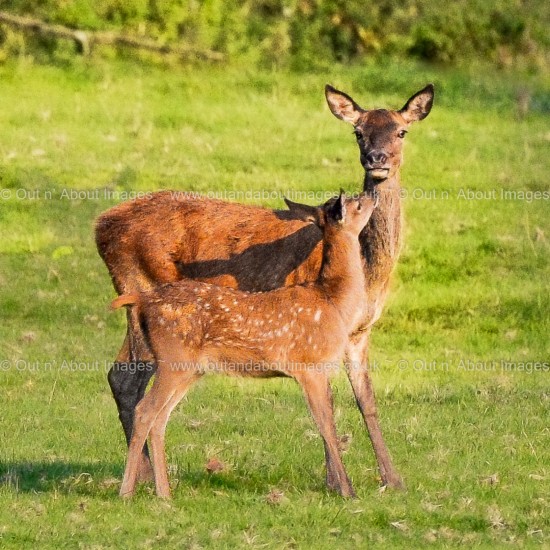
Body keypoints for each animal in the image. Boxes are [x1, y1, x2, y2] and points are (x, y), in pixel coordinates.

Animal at [97, 85, 438, 492]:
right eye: (358, 132)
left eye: (402, 131)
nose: (377, 159)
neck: (368, 272)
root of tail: (100, 226)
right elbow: (326, 404)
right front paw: (334, 482)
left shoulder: (359, 332)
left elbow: (366, 400)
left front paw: (393, 480)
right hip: (143, 289)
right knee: (131, 381)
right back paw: (146, 478)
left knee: (121, 377)